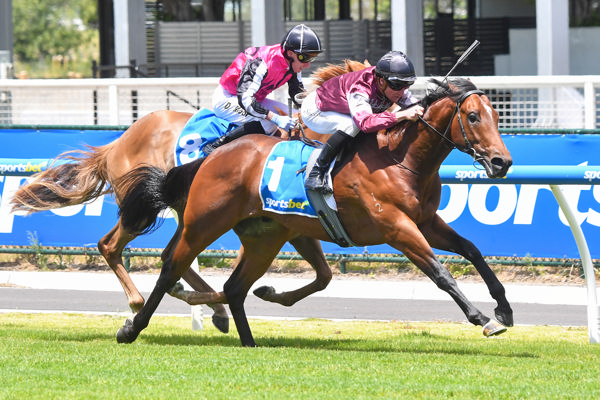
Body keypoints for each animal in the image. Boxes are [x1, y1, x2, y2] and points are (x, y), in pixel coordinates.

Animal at [115, 78, 512, 346]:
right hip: (204, 222)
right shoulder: (396, 227)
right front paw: (481, 317)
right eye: (472, 116)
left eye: (496, 115)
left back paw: (249, 340)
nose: (502, 162)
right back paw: (132, 327)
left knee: (235, 286)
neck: (400, 159)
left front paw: (503, 309)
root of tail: (214, 153)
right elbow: (440, 273)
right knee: (172, 266)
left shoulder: (426, 222)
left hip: (265, 236)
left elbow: (473, 250)